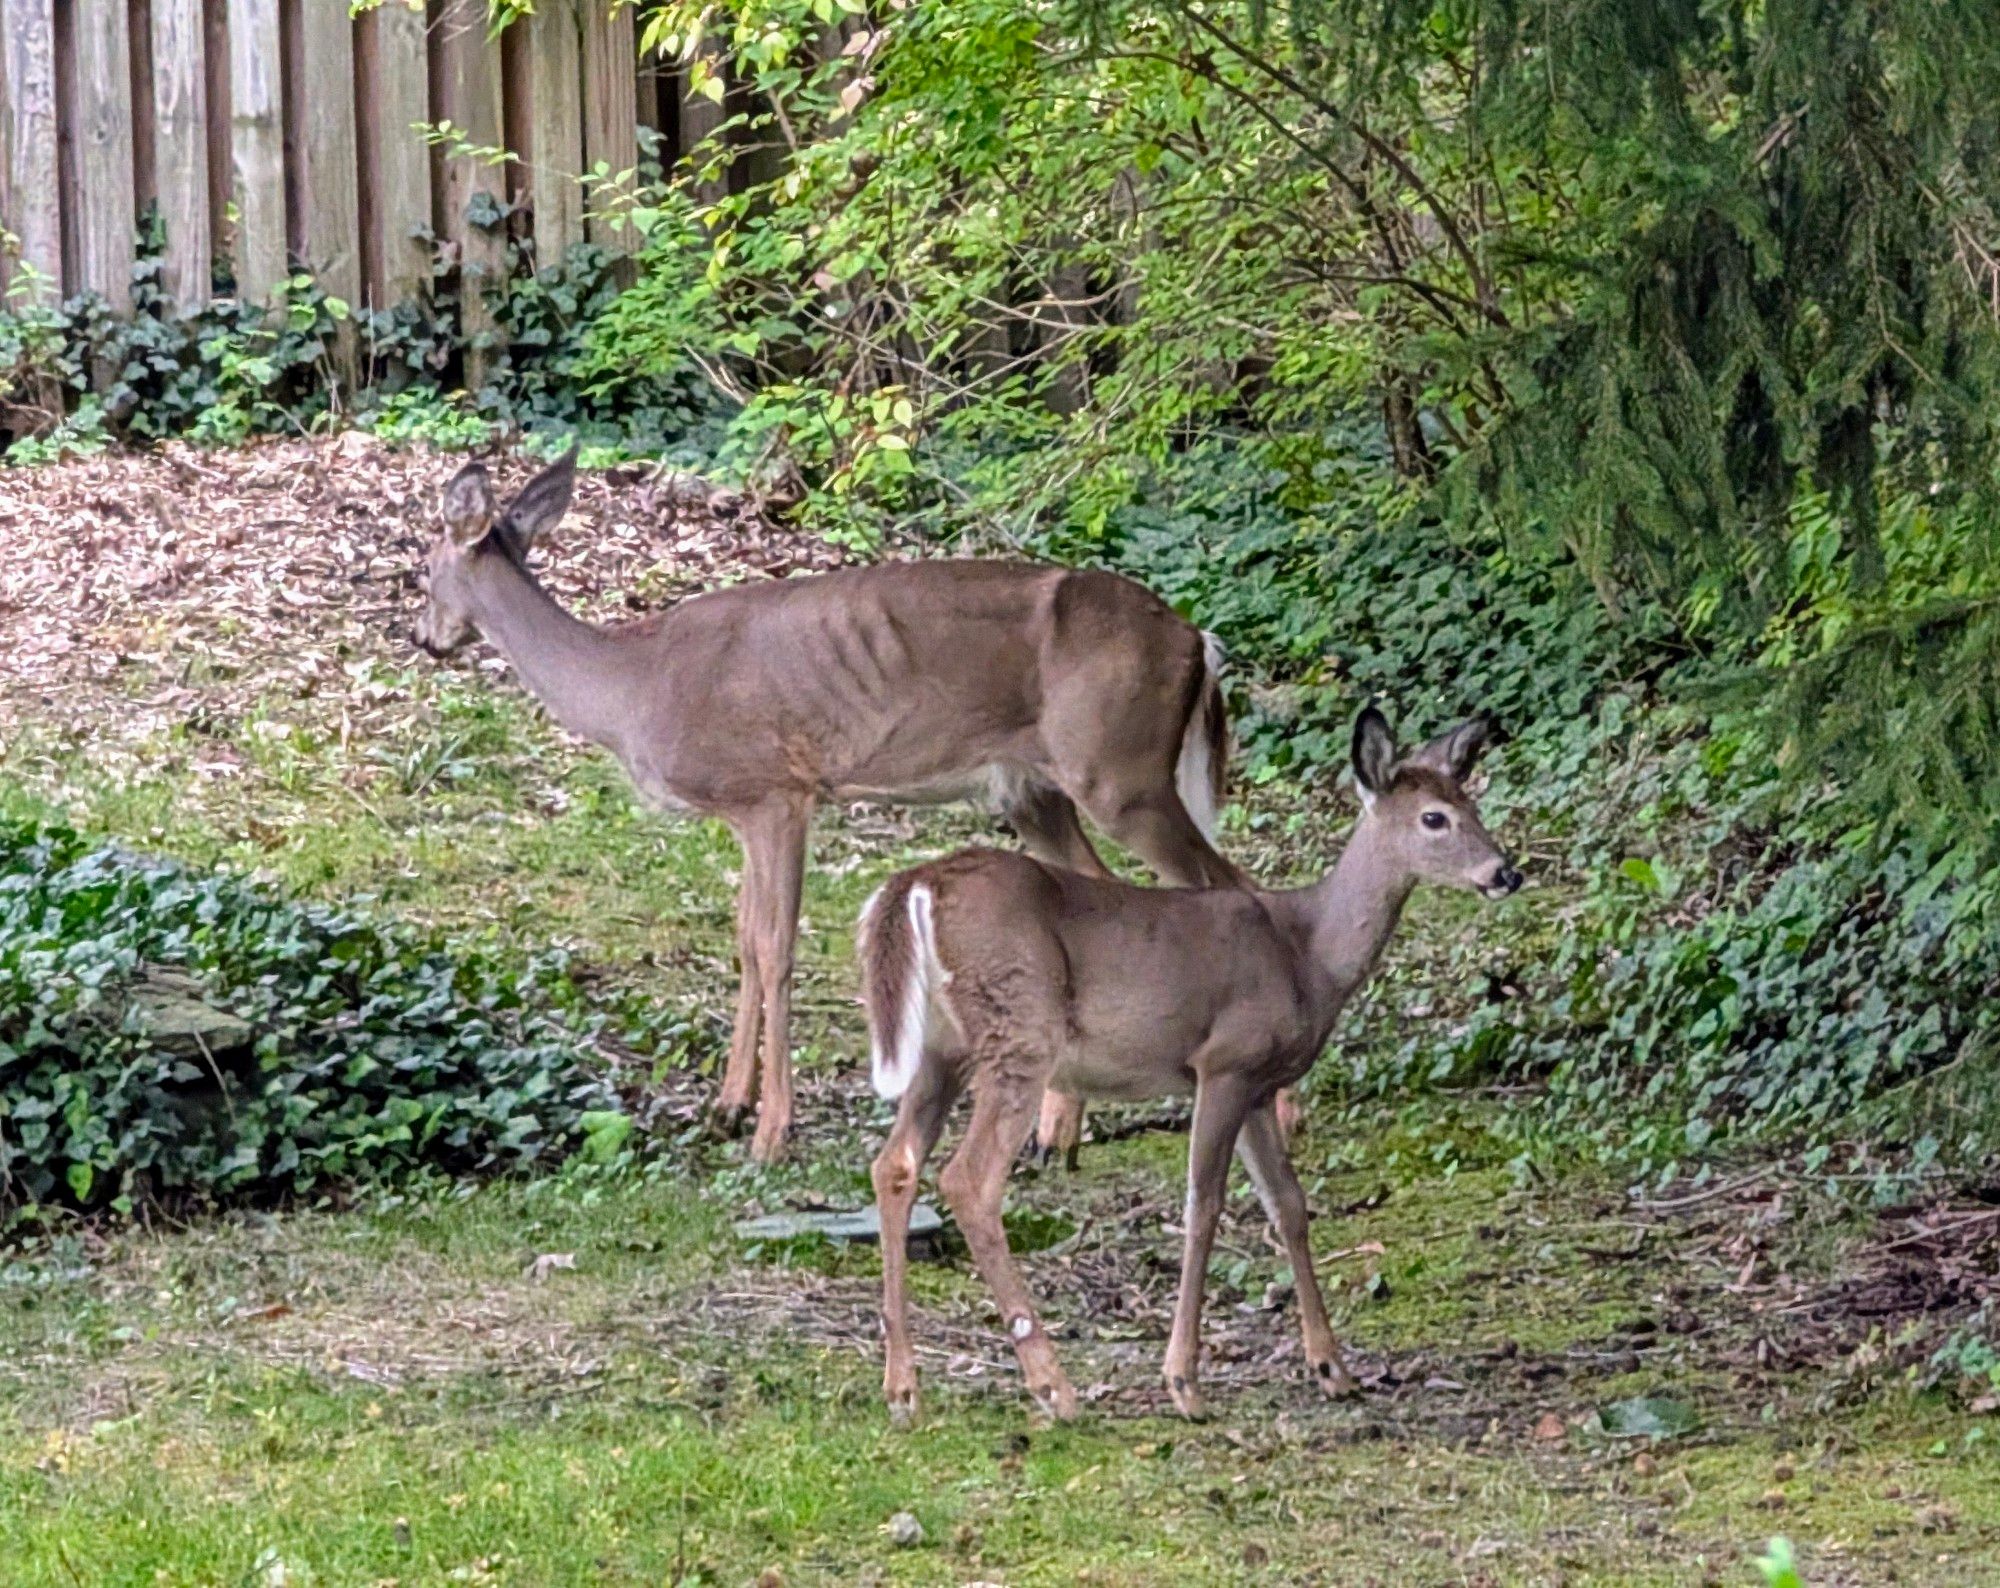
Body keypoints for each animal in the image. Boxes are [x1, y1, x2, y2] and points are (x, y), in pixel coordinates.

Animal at [412, 452, 1240, 1160]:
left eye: (424, 570)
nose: (425, 638)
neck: (635, 686)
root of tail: (1198, 642)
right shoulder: (745, 811)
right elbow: (745, 939)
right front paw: (727, 1106)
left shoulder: (775, 790)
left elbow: (777, 946)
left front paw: (771, 1131)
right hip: (1039, 789)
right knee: (1104, 891)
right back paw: (1055, 1136)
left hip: (1122, 769)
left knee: (1223, 884)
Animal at [852, 700, 1520, 1416]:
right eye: (1434, 818)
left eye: (1471, 802)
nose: (1505, 872)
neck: (1307, 954)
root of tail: (916, 885)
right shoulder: (1225, 1061)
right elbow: (1204, 1206)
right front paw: (1184, 1381)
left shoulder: (1259, 1084)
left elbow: (1288, 1203)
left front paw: (1332, 1367)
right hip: (1020, 1028)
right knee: (968, 1180)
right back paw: (1053, 1386)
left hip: (940, 1049)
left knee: (894, 1164)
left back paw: (902, 1387)